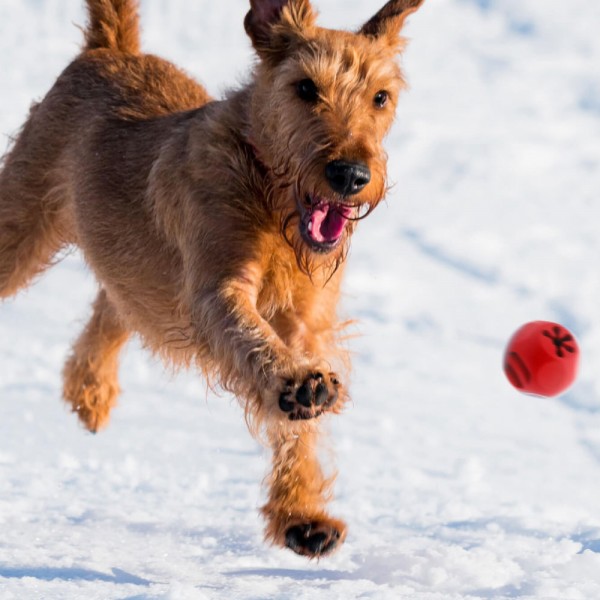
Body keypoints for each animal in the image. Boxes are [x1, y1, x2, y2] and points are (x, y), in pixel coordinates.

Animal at [0, 0, 424, 556]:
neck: (267, 191)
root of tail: (111, 48)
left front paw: (301, 514)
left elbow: (299, 427)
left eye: (381, 97)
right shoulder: (217, 291)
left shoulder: (305, 321)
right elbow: (251, 339)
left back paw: (91, 390)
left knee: (114, 304)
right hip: (20, 227)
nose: (351, 175)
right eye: (305, 87)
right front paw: (296, 382)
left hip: (135, 270)